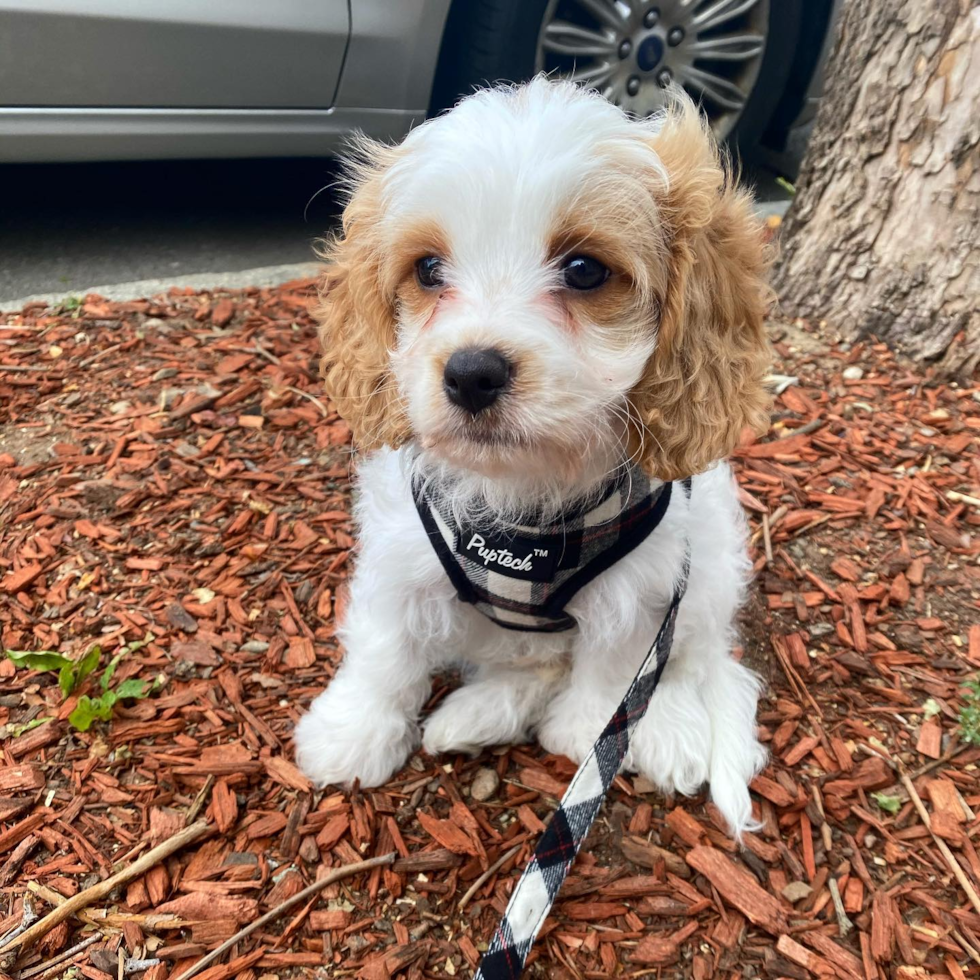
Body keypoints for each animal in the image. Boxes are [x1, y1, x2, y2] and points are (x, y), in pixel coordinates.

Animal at [294, 80, 768, 840]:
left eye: (584, 270)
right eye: (428, 269)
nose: (471, 373)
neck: (526, 498)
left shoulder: (641, 585)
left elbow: (616, 671)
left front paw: (586, 736)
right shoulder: (400, 560)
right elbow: (384, 650)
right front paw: (352, 734)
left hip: (709, 569)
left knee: (692, 662)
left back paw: (665, 729)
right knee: (536, 661)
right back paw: (474, 716)